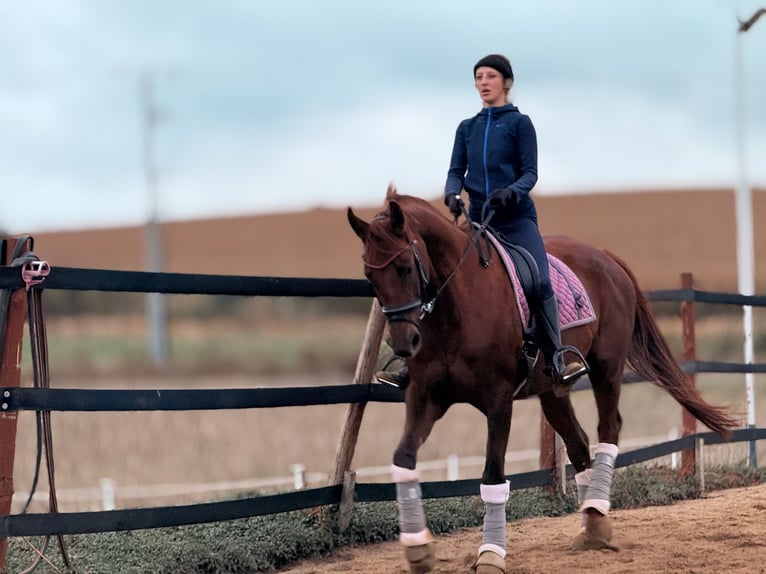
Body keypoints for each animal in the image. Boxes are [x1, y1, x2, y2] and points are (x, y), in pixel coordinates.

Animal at [347, 184, 738, 574]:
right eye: (369, 277)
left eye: (404, 268)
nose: (404, 343)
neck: (455, 308)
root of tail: (606, 257)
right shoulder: (425, 396)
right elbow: (403, 459)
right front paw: (418, 549)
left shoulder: (499, 400)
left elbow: (492, 476)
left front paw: (491, 554)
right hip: (552, 391)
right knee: (579, 443)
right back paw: (593, 524)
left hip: (607, 370)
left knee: (608, 429)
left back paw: (596, 512)